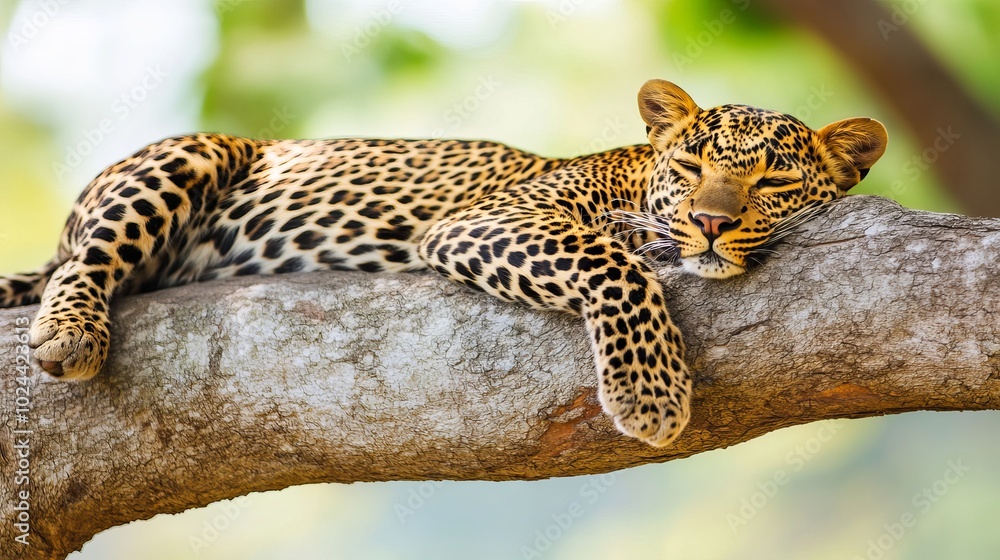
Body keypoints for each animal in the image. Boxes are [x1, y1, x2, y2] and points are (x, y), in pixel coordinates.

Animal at [0, 80, 887, 447]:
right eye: (694, 165)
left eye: (773, 182)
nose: (709, 221)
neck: (635, 173)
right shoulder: (487, 219)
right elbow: (613, 262)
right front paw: (649, 394)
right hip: (185, 157)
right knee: (85, 263)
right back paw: (70, 332)